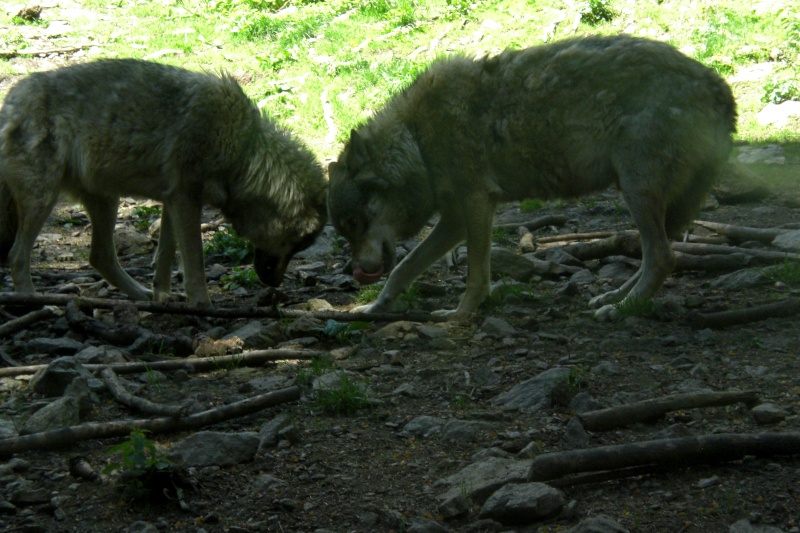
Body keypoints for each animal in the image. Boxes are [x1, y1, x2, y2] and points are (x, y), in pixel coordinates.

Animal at [0, 58, 326, 304]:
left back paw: (142, 296)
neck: (244, 153)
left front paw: (163, 297)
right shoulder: (186, 200)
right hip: (44, 200)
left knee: (100, 257)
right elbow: (195, 264)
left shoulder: (173, 200)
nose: (275, 284)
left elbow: (166, 256)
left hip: (106, 200)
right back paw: (32, 300)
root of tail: (9, 102)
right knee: (16, 256)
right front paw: (203, 305)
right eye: (296, 245)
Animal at [326, 37, 736, 320]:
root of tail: (718, 86)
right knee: (657, 255)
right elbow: (403, 268)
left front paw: (461, 315)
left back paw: (621, 310)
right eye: (346, 230)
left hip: (637, 190)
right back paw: (615, 297)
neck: (417, 141)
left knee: (664, 258)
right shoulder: (456, 219)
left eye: (355, 223)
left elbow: (475, 275)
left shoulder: (475, 205)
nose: (356, 272)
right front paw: (373, 309)